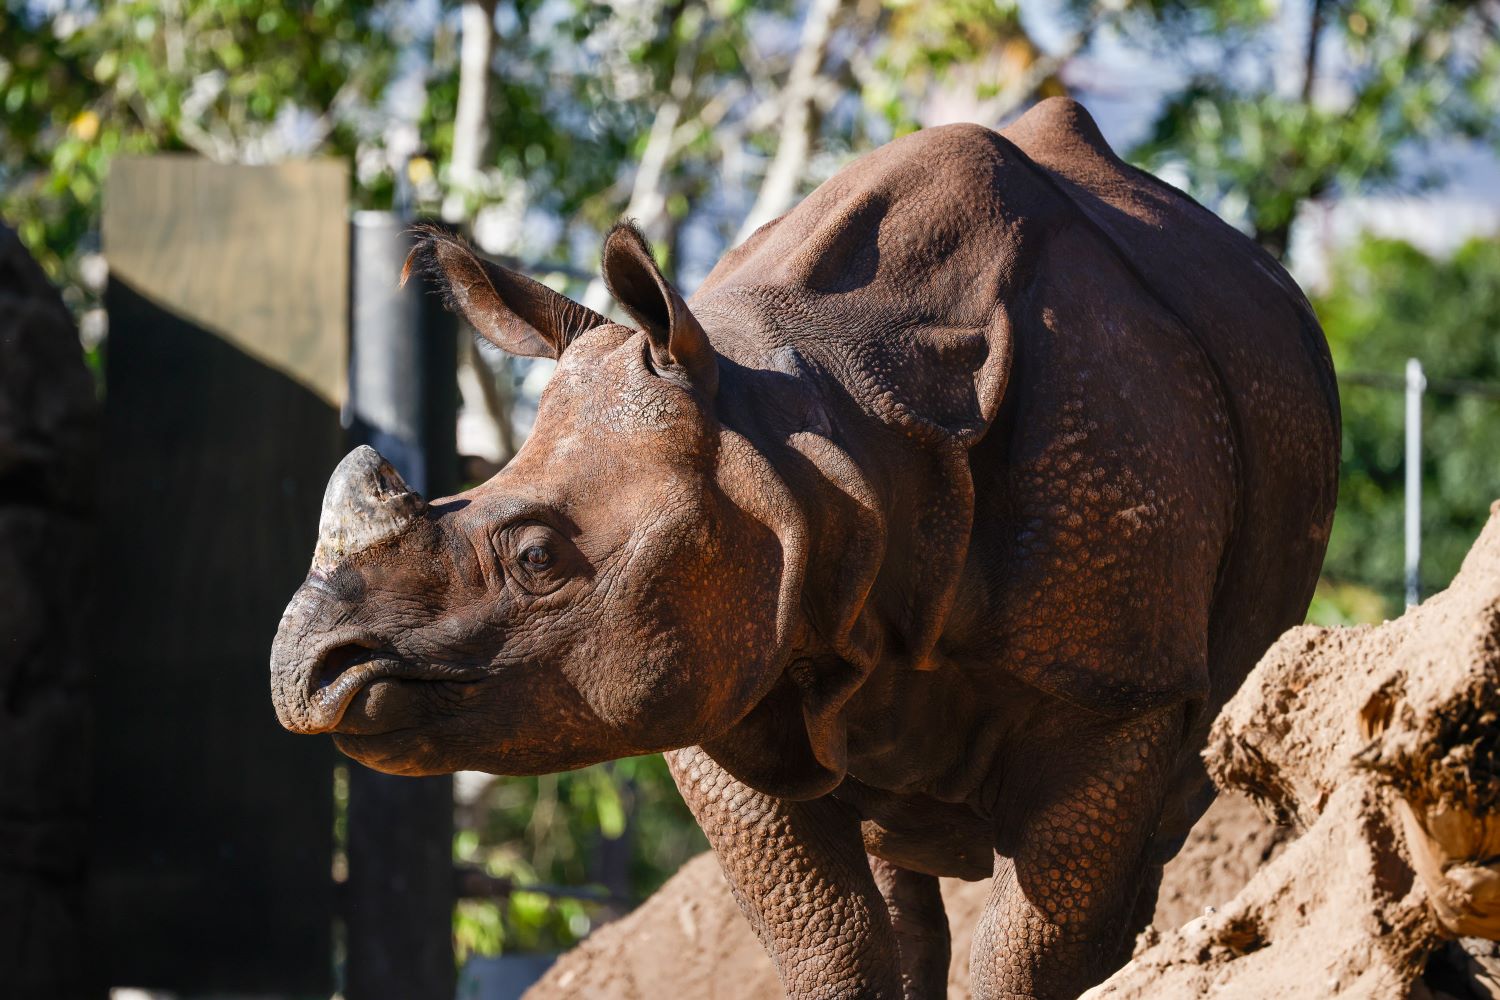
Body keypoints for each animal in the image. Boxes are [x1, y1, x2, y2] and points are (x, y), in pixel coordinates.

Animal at [270, 99, 1339, 999]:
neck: (812, 438)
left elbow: (1028, 952)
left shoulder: (1117, 683)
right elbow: (829, 944)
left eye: (537, 558)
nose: (306, 671)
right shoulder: (726, 664)